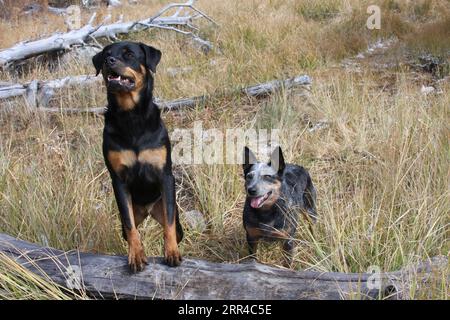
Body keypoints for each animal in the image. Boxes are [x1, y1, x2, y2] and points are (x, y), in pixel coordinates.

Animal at [92, 40, 184, 270]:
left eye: (129, 54)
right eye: (106, 54)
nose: (108, 61)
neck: (131, 117)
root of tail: (148, 209)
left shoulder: (165, 175)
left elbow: (169, 223)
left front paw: (171, 252)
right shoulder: (118, 180)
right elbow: (129, 224)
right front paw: (136, 255)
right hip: (135, 211)